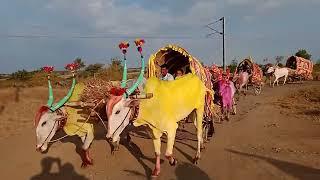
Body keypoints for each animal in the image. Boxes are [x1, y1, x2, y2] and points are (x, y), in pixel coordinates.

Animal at [107, 38, 208, 178]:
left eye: (118, 111)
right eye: (106, 109)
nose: (109, 137)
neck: (146, 103)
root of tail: (196, 78)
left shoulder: (172, 128)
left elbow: (168, 153)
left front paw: (173, 161)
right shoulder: (153, 132)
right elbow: (157, 153)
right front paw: (156, 171)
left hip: (200, 108)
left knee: (198, 133)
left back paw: (197, 156)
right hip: (192, 113)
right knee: (199, 127)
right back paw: (202, 145)